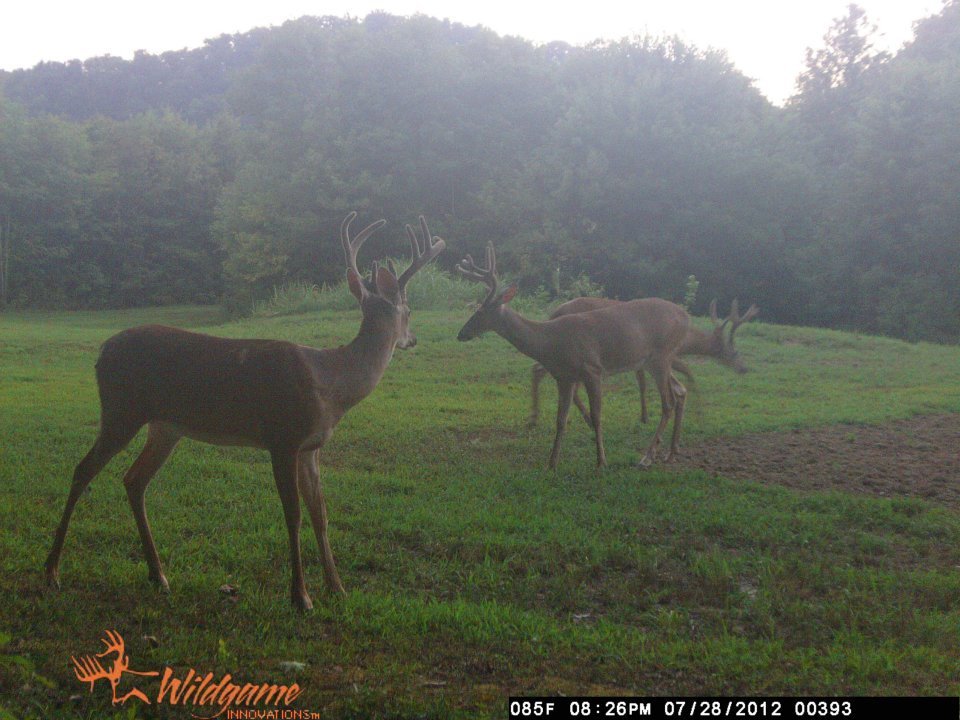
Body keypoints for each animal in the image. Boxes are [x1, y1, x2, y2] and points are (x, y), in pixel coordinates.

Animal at [45, 212, 445, 612]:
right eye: (409, 310)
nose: (412, 339)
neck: (333, 383)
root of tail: (101, 353)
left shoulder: (311, 447)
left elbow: (321, 515)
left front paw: (337, 588)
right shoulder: (282, 437)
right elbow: (294, 514)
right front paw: (301, 596)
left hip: (165, 426)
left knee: (133, 480)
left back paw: (158, 575)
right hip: (121, 409)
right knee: (83, 470)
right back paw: (52, 571)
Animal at [456, 244, 757, 469]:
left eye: (481, 311)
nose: (461, 334)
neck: (550, 341)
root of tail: (685, 318)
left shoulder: (592, 368)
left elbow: (599, 415)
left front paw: (601, 461)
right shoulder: (564, 377)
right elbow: (560, 419)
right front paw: (552, 462)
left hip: (661, 356)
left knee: (669, 402)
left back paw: (647, 457)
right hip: (656, 360)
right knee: (676, 394)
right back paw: (666, 453)